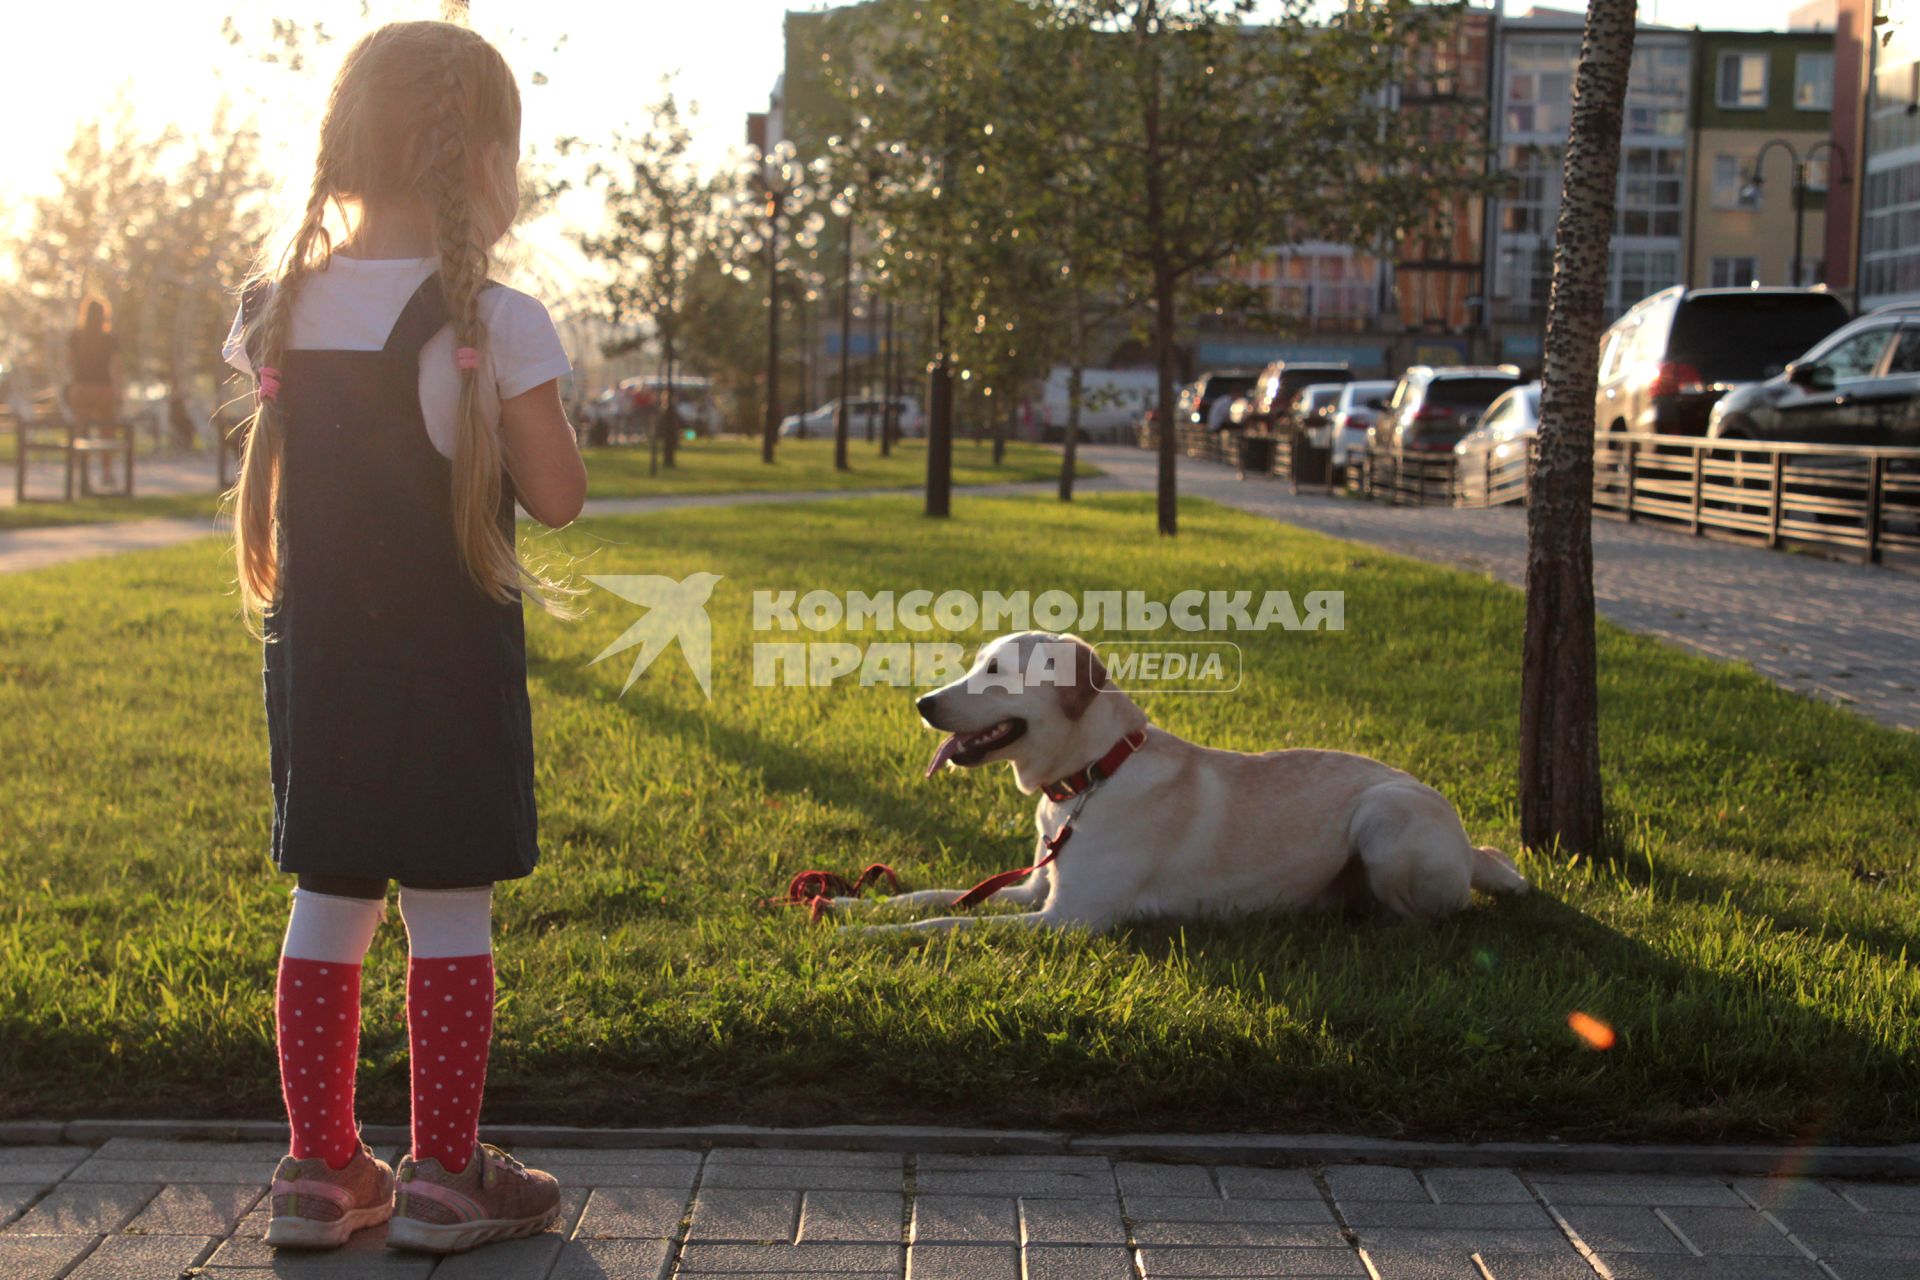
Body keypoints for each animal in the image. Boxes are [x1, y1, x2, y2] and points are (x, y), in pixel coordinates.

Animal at [829, 637, 1528, 936]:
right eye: (977, 663)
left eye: (995, 670)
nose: (921, 704)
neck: (1091, 776)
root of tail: (1469, 844)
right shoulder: (1033, 890)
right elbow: (931, 897)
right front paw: (845, 907)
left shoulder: (1068, 920)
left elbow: (946, 925)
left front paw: (863, 939)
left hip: (1385, 817)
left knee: (1432, 916)